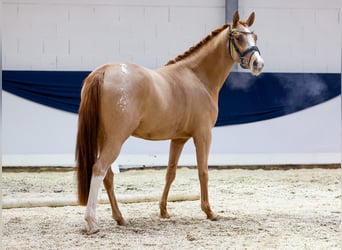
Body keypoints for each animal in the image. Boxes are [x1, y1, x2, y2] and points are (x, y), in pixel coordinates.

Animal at [76, 11, 264, 234]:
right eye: (238, 37)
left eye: (255, 36)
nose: (258, 64)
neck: (197, 77)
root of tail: (103, 71)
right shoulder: (203, 135)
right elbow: (203, 171)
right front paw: (209, 211)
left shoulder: (178, 139)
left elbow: (170, 173)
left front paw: (164, 211)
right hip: (116, 139)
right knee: (99, 169)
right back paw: (91, 221)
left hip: (102, 138)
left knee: (108, 176)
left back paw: (120, 218)